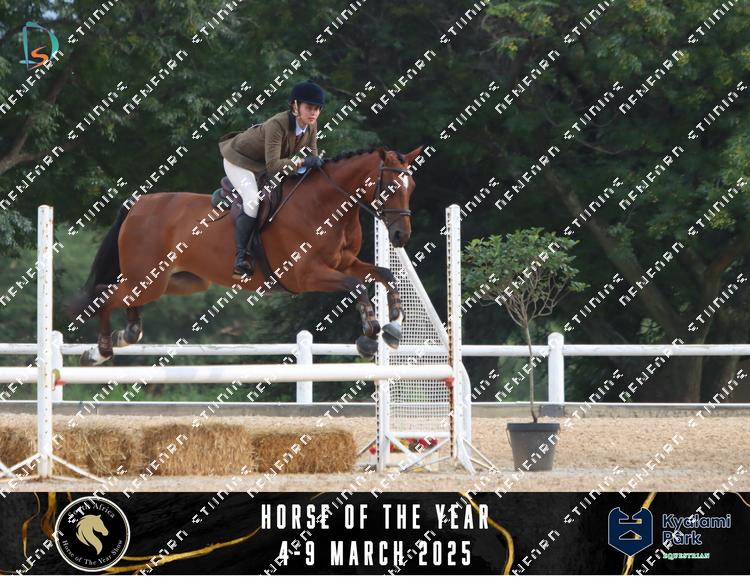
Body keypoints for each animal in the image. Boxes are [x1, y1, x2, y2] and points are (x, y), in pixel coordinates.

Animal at [69, 146, 422, 365]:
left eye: (413, 187)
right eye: (391, 187)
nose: (401, 236)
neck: (327, 205)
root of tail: (138, 204)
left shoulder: (345, 263)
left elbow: (385, 275)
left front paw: (393, 328)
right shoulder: (307, 275)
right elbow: (356, 286)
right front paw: (370, 336)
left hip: (178, 281)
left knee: (125, 299)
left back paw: (125, 334)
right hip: (148, 278)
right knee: (105, 295)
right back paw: (100, 351)